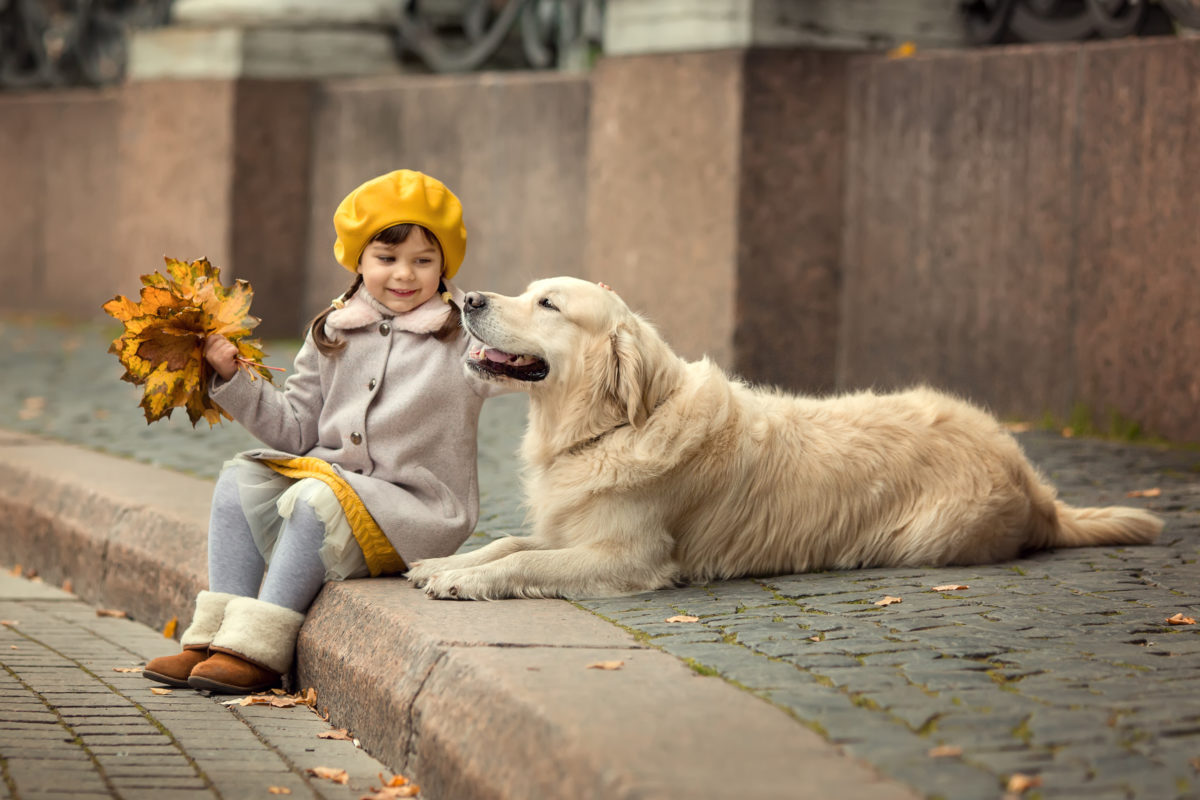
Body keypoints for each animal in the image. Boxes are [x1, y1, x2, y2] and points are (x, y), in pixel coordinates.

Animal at [405, 278, 1161, 597]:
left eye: (548, 304)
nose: (467, 299)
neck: (612, 428)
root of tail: (1034, 484)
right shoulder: (567, 528)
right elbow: (510, 542)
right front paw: (444, 563)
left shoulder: (629, 556)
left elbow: (526, 562)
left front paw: (463, 581)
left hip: (932, 537)